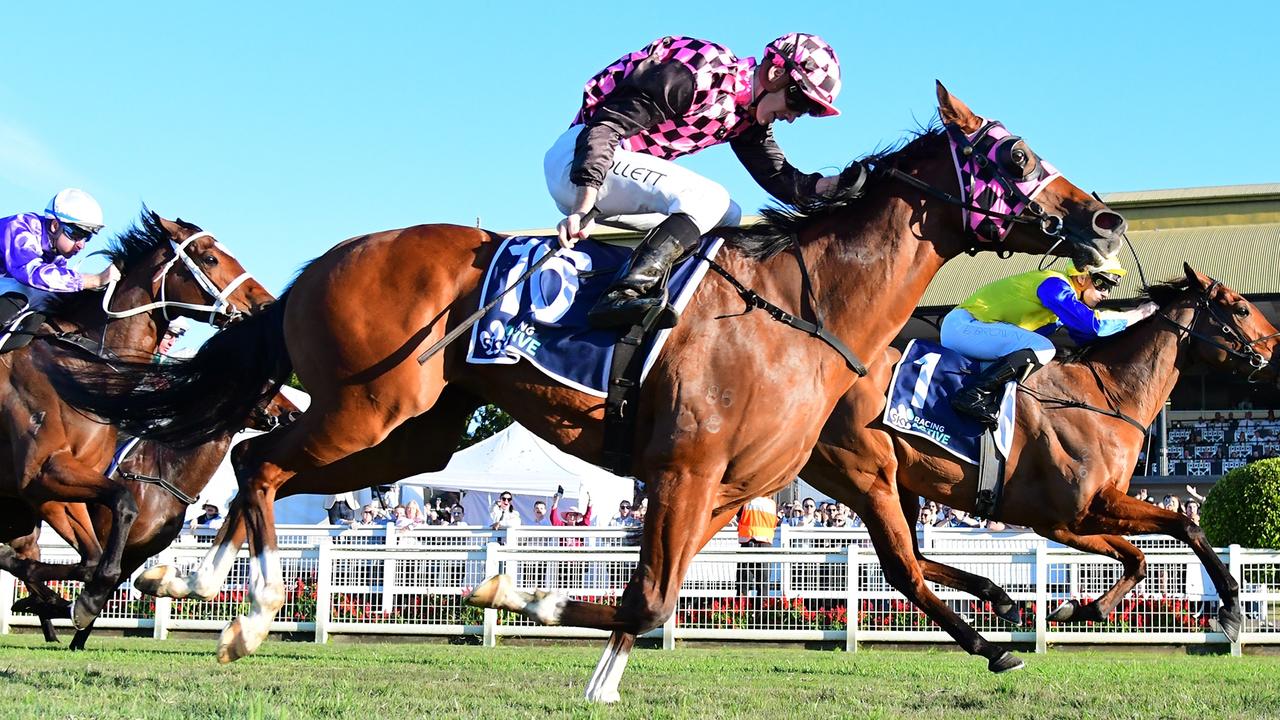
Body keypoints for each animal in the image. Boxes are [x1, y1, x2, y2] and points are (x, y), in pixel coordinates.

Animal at [0, 210, 270, 625]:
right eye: (210, 258)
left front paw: (73, 599)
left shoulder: (62, 491)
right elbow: (120, 506)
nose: (267, 303)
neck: (78, 367)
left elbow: (94, 558)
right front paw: (67, 600)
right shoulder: (43, 476)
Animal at [3, 389, 300, 648]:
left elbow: (104, 586)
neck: (163, 473)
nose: (294, 413)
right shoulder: (105, 537)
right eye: (269, 387)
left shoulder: (137, 554)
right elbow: (94, 574)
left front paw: (76, 633)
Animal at [55, 83, 1126, 696]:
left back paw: (190, 582)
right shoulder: (687, 470)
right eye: (1016, 156)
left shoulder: (729, 490)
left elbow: (656, 601)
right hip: (368, 405)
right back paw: (240, 605)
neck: (803, 308)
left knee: (252, 462)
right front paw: (508, 593)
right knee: (262, 459)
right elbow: (644, 601)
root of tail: (322, 262)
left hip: (418, 433)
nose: (1105, 220)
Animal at [803, 260, 1274, 666]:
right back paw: (992, 648)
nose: (1276, 345)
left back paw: (1000, 598)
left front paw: (1079, 610)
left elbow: (1137, 558)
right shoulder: (1086, 507)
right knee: (905, 571)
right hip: (868, 480)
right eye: (1240, 306)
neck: (1105, 396)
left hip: (900, 487)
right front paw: (1232, 610)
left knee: (917, 558)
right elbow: (1187, 526)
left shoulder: (1065, 522)